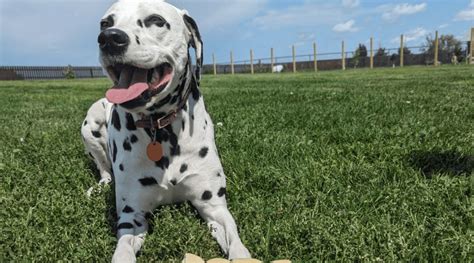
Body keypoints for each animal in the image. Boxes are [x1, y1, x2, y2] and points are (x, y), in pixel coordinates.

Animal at [80, 0, 252, 262]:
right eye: (105, 23)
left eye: (156, 20)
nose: (109, 38)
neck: (160, 128)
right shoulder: (132, 217)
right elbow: (123, 251)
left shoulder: (214, 206)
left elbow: (236, 243)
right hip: (90, 124)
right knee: (104, 172)